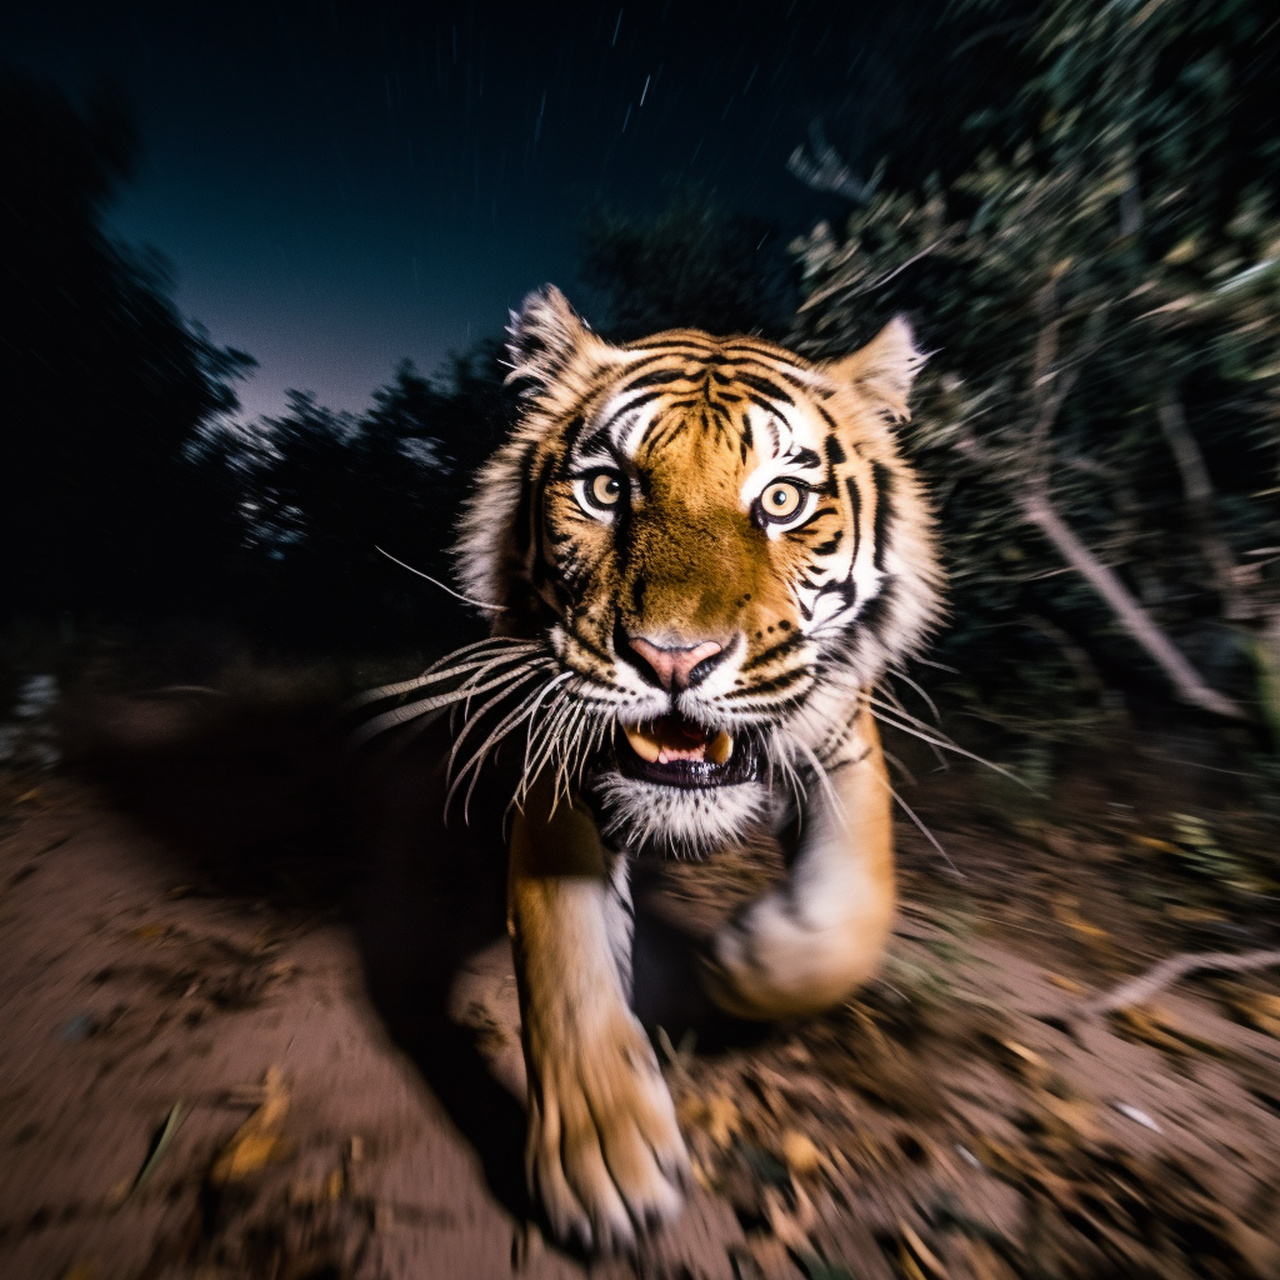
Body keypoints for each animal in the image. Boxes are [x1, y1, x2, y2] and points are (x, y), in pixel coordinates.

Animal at [359, 285, 942, 1251]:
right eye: (607, 488)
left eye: (783, 499)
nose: (674, 659)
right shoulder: (559, 758)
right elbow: (565, 959)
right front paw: (603, 1154)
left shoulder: (841, 733)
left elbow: (860, 909)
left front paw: (752, 964)